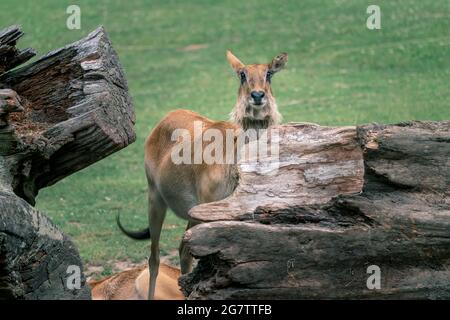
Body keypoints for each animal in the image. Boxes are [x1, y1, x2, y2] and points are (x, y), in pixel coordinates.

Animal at [117, 50, 288, 300]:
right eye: (242, 74)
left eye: (269, 73)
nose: (257, 95)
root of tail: (164, 120)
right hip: (155, 199)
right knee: (154, 257)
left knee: (182, 250)